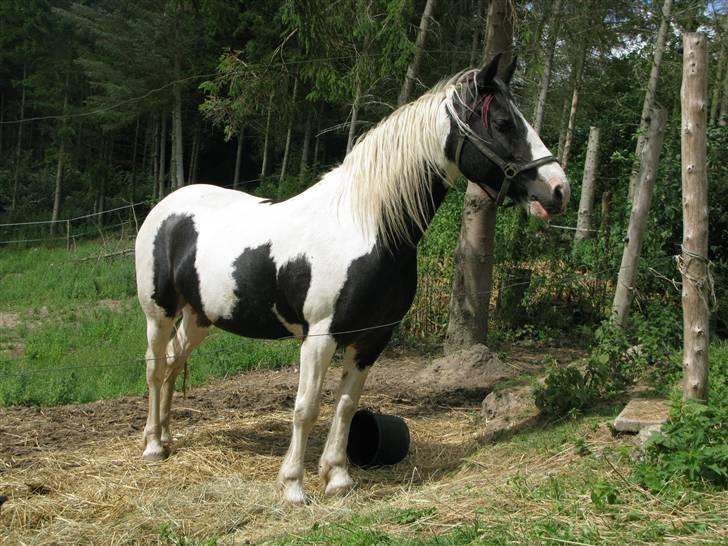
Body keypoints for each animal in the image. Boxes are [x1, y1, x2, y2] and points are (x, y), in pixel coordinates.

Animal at [135, 55, 568, 502]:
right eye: (502, 122)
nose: (558, 190)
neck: (368, 229)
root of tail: (166, 207)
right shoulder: (320, 337)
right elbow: (306, 408)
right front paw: (293, 485)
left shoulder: (372, 339)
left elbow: (345, 404)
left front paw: (338, 477)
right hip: (158, 314)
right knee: (155, 368)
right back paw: (152, 446)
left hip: (199, 317)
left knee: (173, 364)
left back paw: (167, 438)